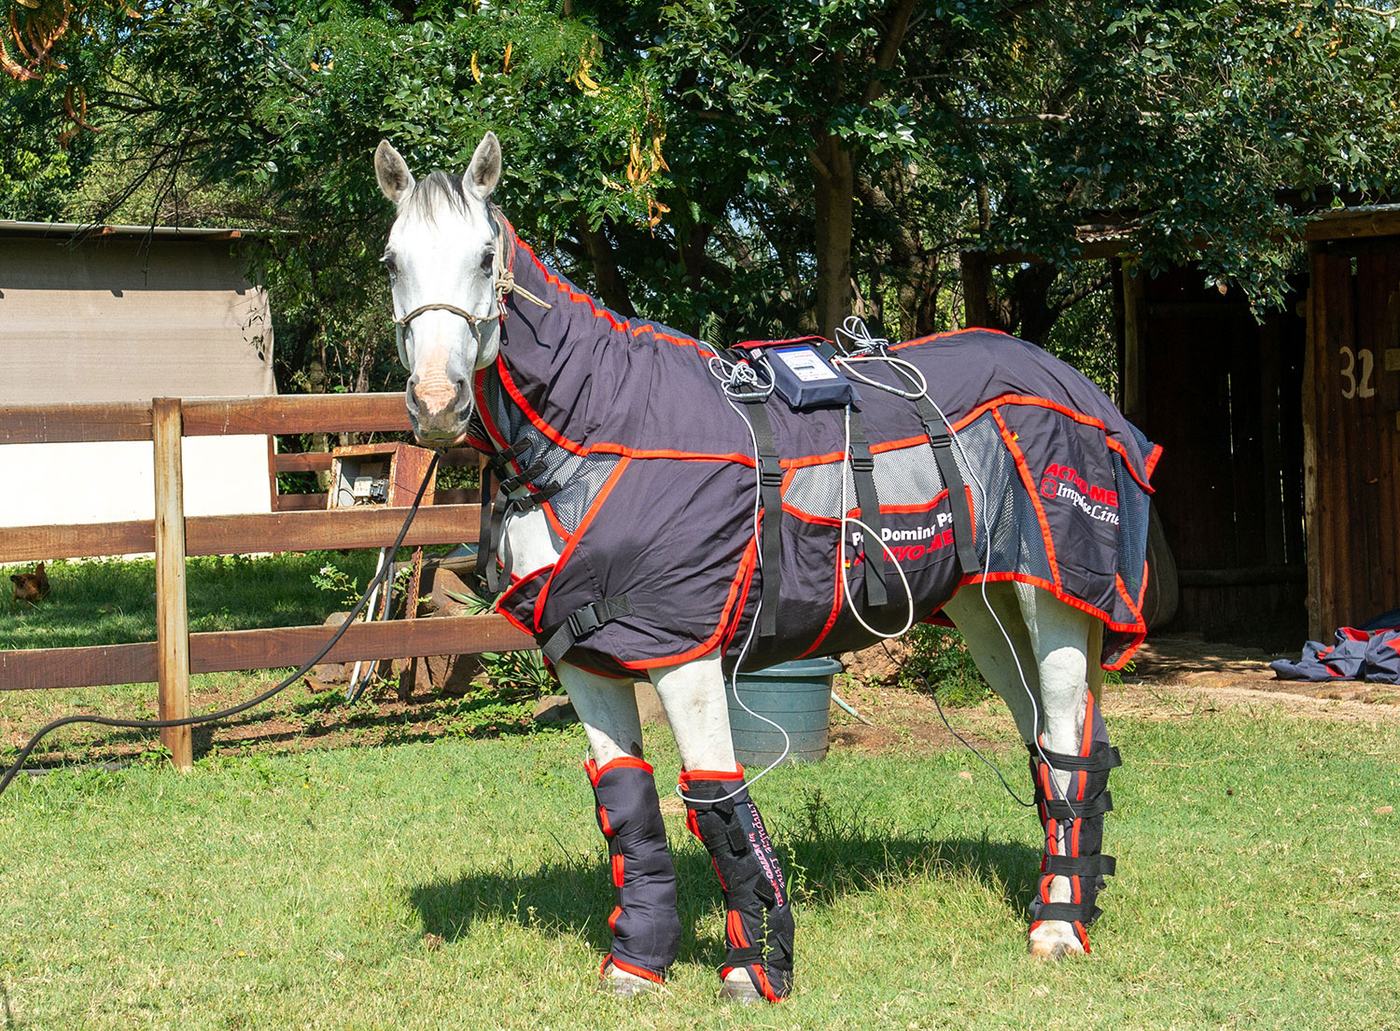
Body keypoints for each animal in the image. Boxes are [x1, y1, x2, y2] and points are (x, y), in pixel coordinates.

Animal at [372, 132, 1157, 1003]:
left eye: (484, 258)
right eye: (392, 259)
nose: (435, 405)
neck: (593, 435)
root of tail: (1075, 384)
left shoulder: (683, 652)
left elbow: (717, 795)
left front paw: (756, 967)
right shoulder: (586, 657)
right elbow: (628, 802)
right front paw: (637, 964)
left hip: (1056, 596)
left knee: (1067, 738)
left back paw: (1056, 926)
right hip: (986, 610)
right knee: (1054, 738)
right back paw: (1068, 903)